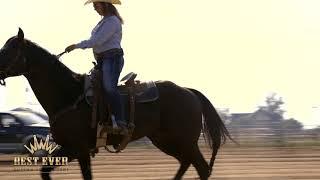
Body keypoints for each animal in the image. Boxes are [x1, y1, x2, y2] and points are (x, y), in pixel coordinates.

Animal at [0, 28, 231, 179]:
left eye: (8, 50)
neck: (69, 95)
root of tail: (188, 92)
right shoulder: (73, 149)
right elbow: (49, 172)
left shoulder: (78, 148)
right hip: (165, 140)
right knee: (187, 163)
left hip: (185, 141)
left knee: (201, 168)